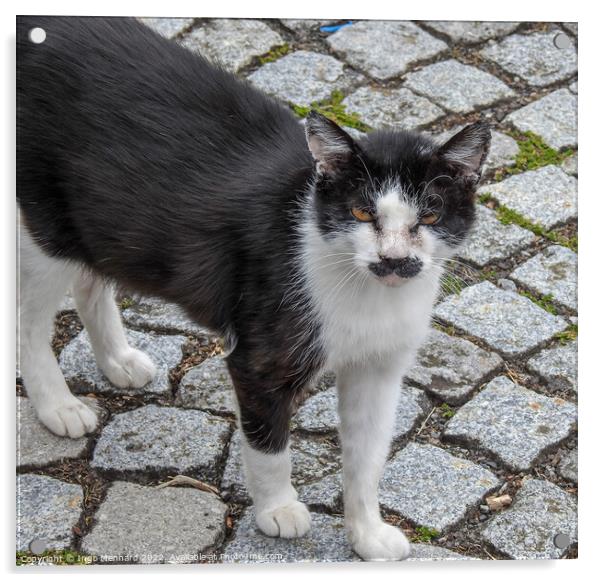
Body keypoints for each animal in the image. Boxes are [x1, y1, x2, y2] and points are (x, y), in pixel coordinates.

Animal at [17, 14, 488, 560]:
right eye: (360, 213)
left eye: (429, 216)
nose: (393, 259)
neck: (366, 297)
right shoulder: (261, 359)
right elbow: (269, 444)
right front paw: (277, 510)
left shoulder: (380, 368)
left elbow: (367, 457)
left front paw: (367, 534)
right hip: (46, 224)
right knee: (29, 321)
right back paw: (58, 406)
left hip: (101, 219)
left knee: (91, 279)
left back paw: (117, 361)